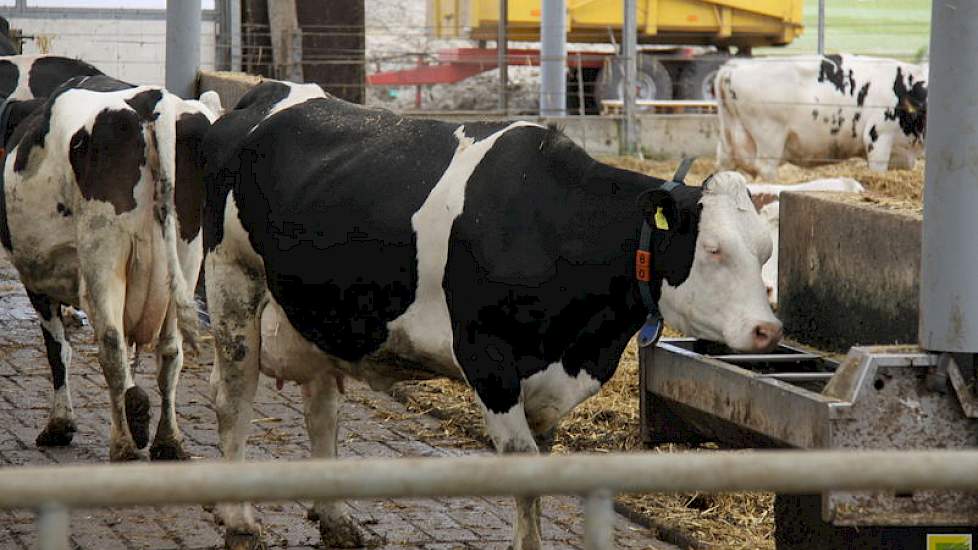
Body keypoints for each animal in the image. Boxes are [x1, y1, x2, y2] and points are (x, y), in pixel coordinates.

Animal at [0, 75, 220, 464]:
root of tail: (155, 101)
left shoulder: (37, 280)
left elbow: (58, 350)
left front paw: (60, 424)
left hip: (103, 256)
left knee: (112, 345)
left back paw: (124, 441)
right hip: (186, 255)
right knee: (170, 352)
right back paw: (167, 440)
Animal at [202, 83, 780, 550]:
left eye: (765, 249)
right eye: (712, 249)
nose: (768, 329)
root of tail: (268, 94)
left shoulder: (553, 381)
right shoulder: (488, 358)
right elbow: (521, 465)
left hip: (319, 319)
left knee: (321, 411)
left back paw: (338, 521)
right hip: (233, 282)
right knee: (234, 399)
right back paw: (238, 519)